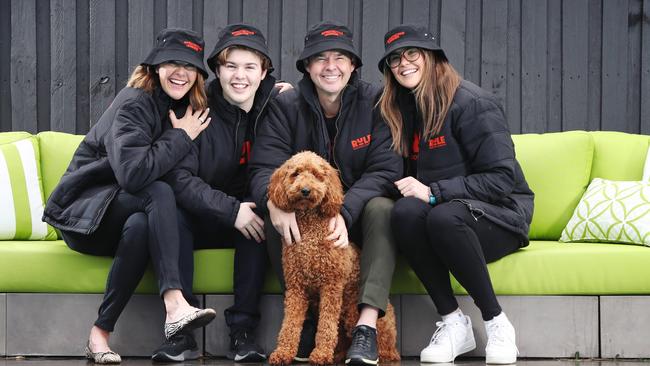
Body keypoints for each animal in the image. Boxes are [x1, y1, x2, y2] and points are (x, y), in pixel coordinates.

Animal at [264, 150, 398, 364]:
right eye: (296, 173)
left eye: (317, 175)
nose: (305, 190)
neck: (310, 230)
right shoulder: (296, 287)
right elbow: (290, 324)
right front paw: (283, 352)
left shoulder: (331, 286)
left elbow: (326, 325)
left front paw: (321, 354)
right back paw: (339, 354)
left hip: (354, 312)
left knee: (384, 343)